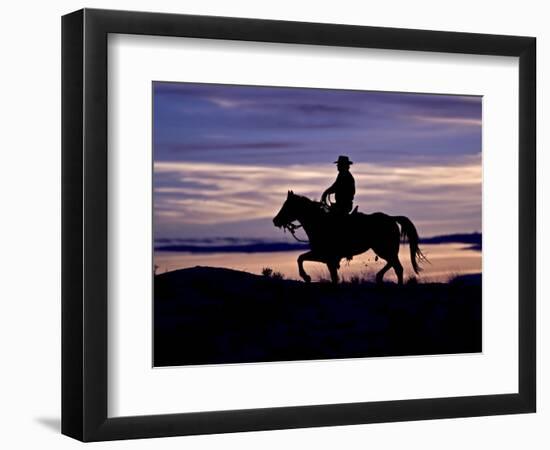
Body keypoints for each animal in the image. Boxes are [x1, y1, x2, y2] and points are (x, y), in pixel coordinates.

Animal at [274, 191, 430, 284]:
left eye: (287, 206)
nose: (275, 220)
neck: (319, 222)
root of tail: (391, 218)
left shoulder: (324, 255)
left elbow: (300, 258)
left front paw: (306, 276)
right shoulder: (326, 258)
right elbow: (306, 260)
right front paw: (307, 277)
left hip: (384, 249)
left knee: (398, 267)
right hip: (385, 250)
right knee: (394, 265)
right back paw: (379, 277)